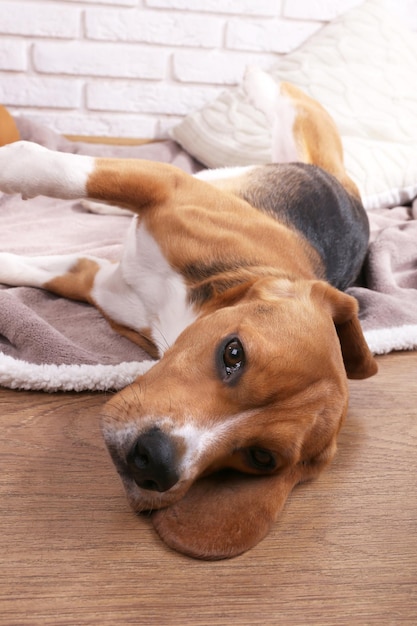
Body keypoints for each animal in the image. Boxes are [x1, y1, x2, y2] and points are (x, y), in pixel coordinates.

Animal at [0, 70, 376, 560]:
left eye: (261, 457)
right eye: (233, 353)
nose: (154, 464)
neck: (182, 311)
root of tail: (352, 199)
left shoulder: (100, 283)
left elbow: (37, 266)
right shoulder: (167, 184)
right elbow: (51, 165)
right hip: (286, 151)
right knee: (291, 101)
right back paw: (257, 77)